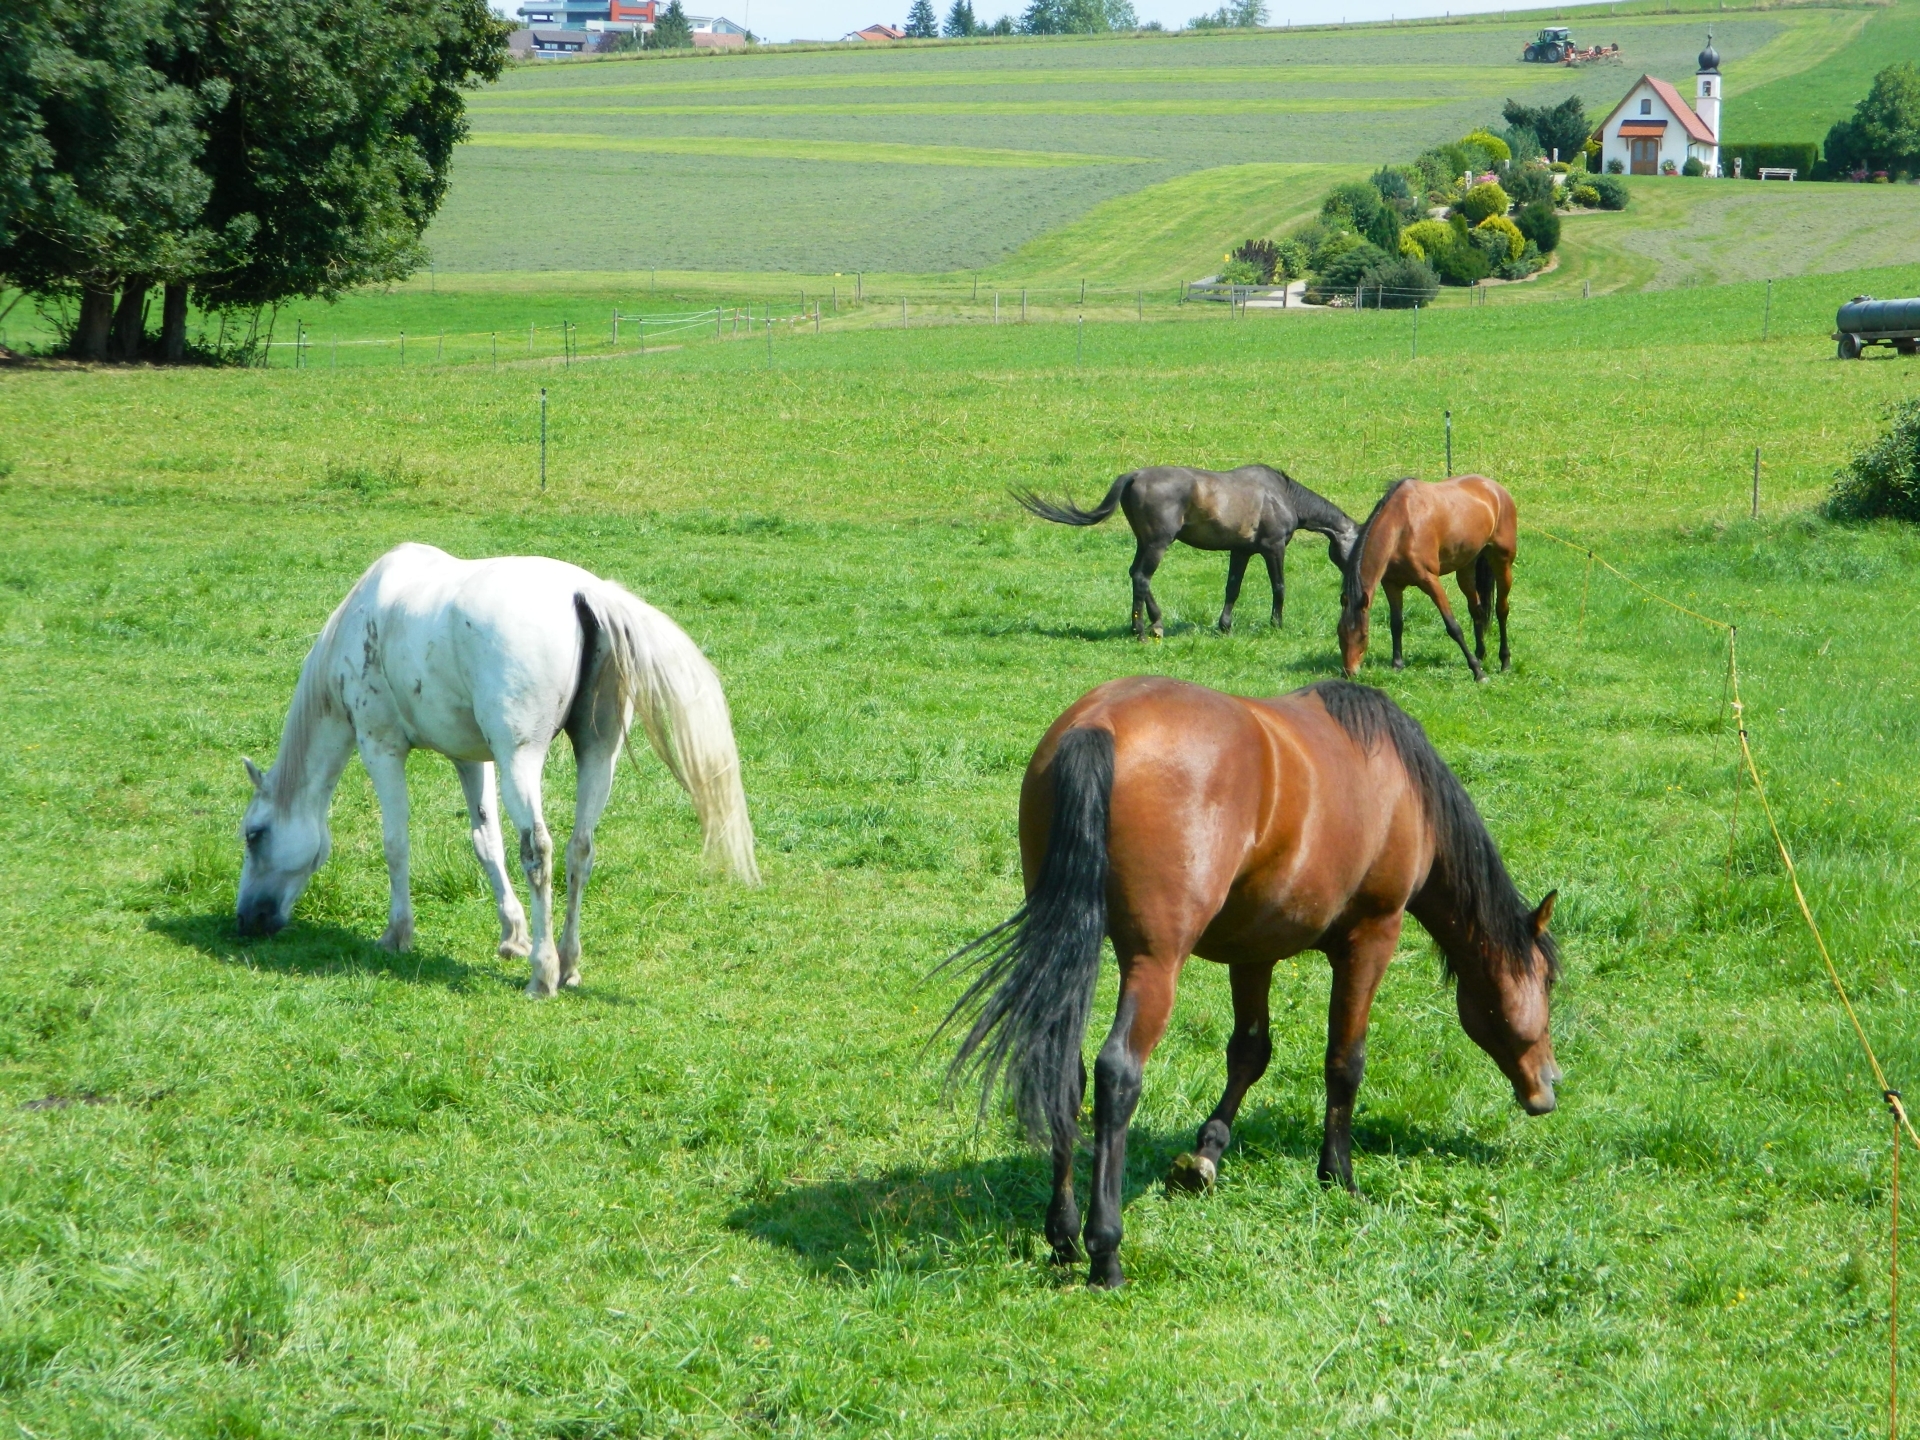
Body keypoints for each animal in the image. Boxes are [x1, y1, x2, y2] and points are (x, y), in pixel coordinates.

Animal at [234, 545, 756, 998]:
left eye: (254, 835)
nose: (245, 922)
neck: (364, 616)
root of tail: (584, 592)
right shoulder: (471, 757)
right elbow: (487, 842)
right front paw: (513, 934)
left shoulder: (380, 746)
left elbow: (396, 843)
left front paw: (397, 934)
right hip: (596, 754)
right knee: (580, 848)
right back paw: (568, 962)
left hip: (520, 760)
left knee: (539, 850)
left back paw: (543, 975)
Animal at [944, 683, 1559, 1290]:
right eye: (1549, 981)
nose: (1548, 1086)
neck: (1403, 784)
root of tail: (1100, 724)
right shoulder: (1371, 937)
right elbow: (1345, 1060)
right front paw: (1339, 1175)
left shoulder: (1254, 950)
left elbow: (1249, 1052)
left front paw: (1205, 1156)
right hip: (1155, 962)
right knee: (1117, 1073)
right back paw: (1106, 1252)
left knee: (1066, 1071)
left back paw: (1065, 1236)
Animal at [1013, 464, 1359, 641]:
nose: (1354, 585)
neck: (1283, 495)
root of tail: (1136, 475)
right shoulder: (1273, 548)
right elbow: (1279, 587)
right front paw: (1276, 625)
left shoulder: (1241, 551)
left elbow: (1232, 588)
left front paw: (1224, 626)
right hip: (1158, 543)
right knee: (1142, 578)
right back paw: (1144, 630)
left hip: (1145, 542)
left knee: (1136, 576)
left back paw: (1152, 623)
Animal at [1344, 476, 1520, 683]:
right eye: (1340, 632)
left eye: (1363, 636)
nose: (1349, 671)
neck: (1401, 527)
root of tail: (1496, 488)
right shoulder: (1392, 585)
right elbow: (1396, 623)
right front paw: (1397, 665)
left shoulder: (1430, 581)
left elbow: (1453, 627)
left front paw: (1478, 673)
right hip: (1466, 568)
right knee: (1476, 610)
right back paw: (1480, 654)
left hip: (1502, 562)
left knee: (1502, 610)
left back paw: (1505, 662)